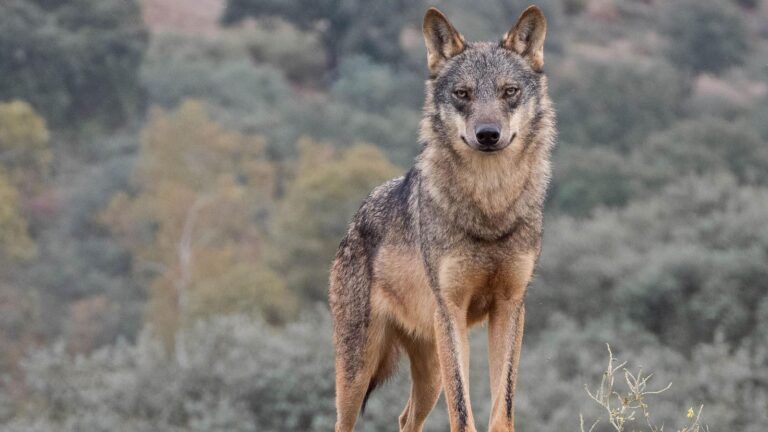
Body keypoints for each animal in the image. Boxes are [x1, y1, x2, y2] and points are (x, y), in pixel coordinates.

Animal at [329, 5, 555, 432]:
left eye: (509, 92)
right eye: (463, 94)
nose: (488, 134)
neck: (489, 208)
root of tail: (354, 220)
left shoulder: (510, 308)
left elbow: (503, 408)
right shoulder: (450, 310)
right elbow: (463, 413)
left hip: (430, 368)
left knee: (405, 418)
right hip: (358, 370)